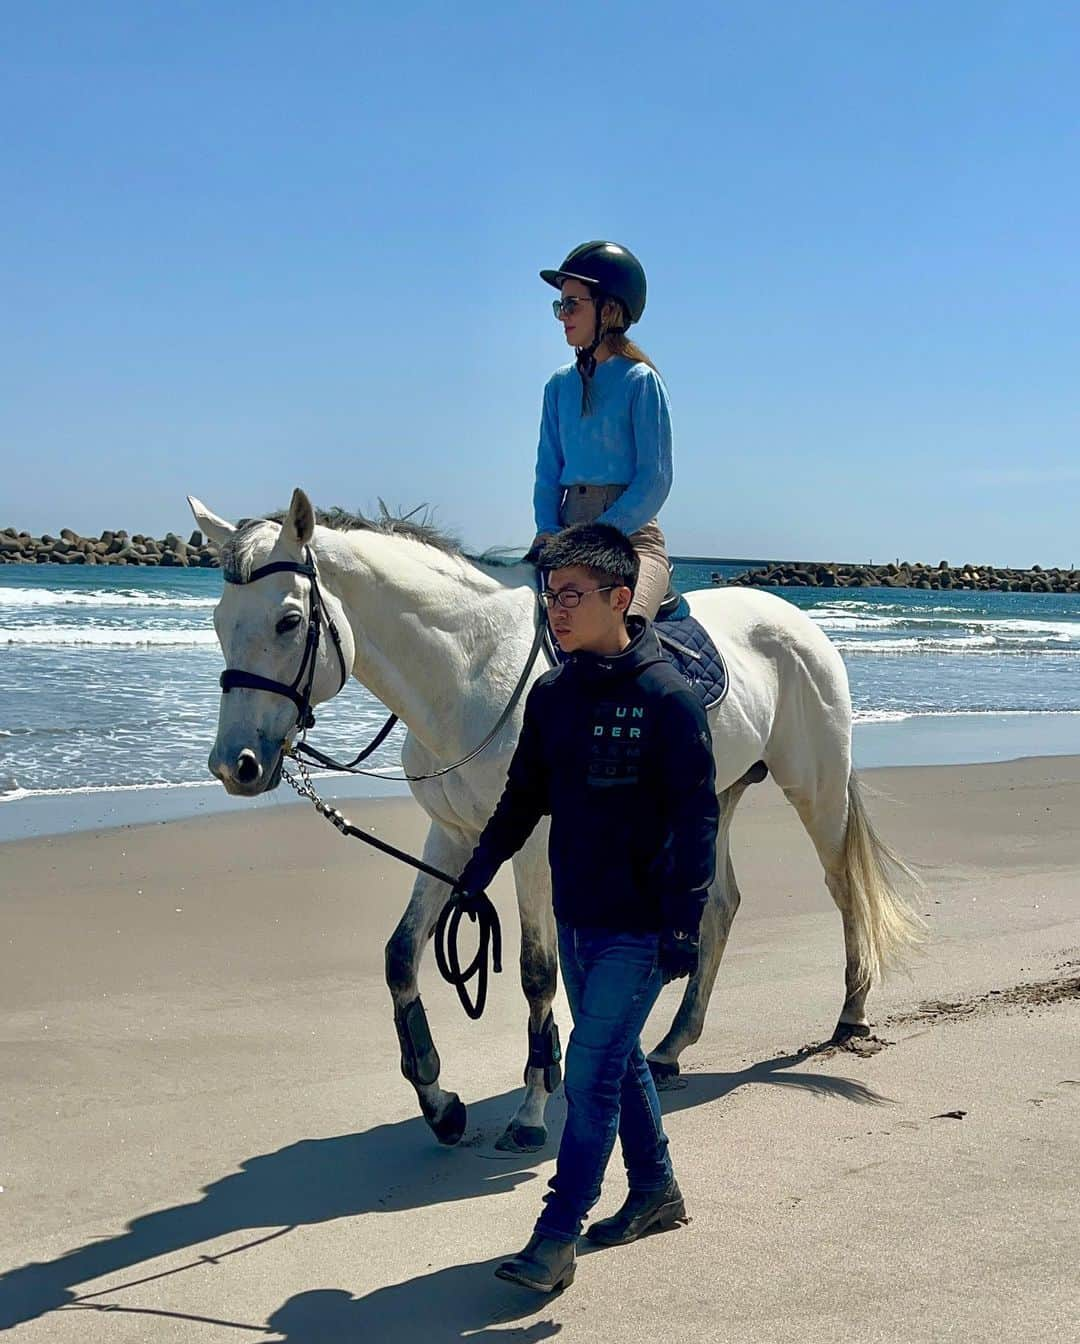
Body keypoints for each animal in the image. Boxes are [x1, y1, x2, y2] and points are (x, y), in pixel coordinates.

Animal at [189, 489, 924, 1150]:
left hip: (817, 789)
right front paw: (440, 1101)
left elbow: (538, 972)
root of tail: (797, 620)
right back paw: (670, 1047)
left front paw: (532, 1108)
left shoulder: (532, 843)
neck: (467, 674)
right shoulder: (455, 836)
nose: (236, 765)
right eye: (219, 621)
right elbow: (401, 956)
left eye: (288, 621)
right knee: (717, 907)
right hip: (715, 797)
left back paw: (851, 1016)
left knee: (843, 890)